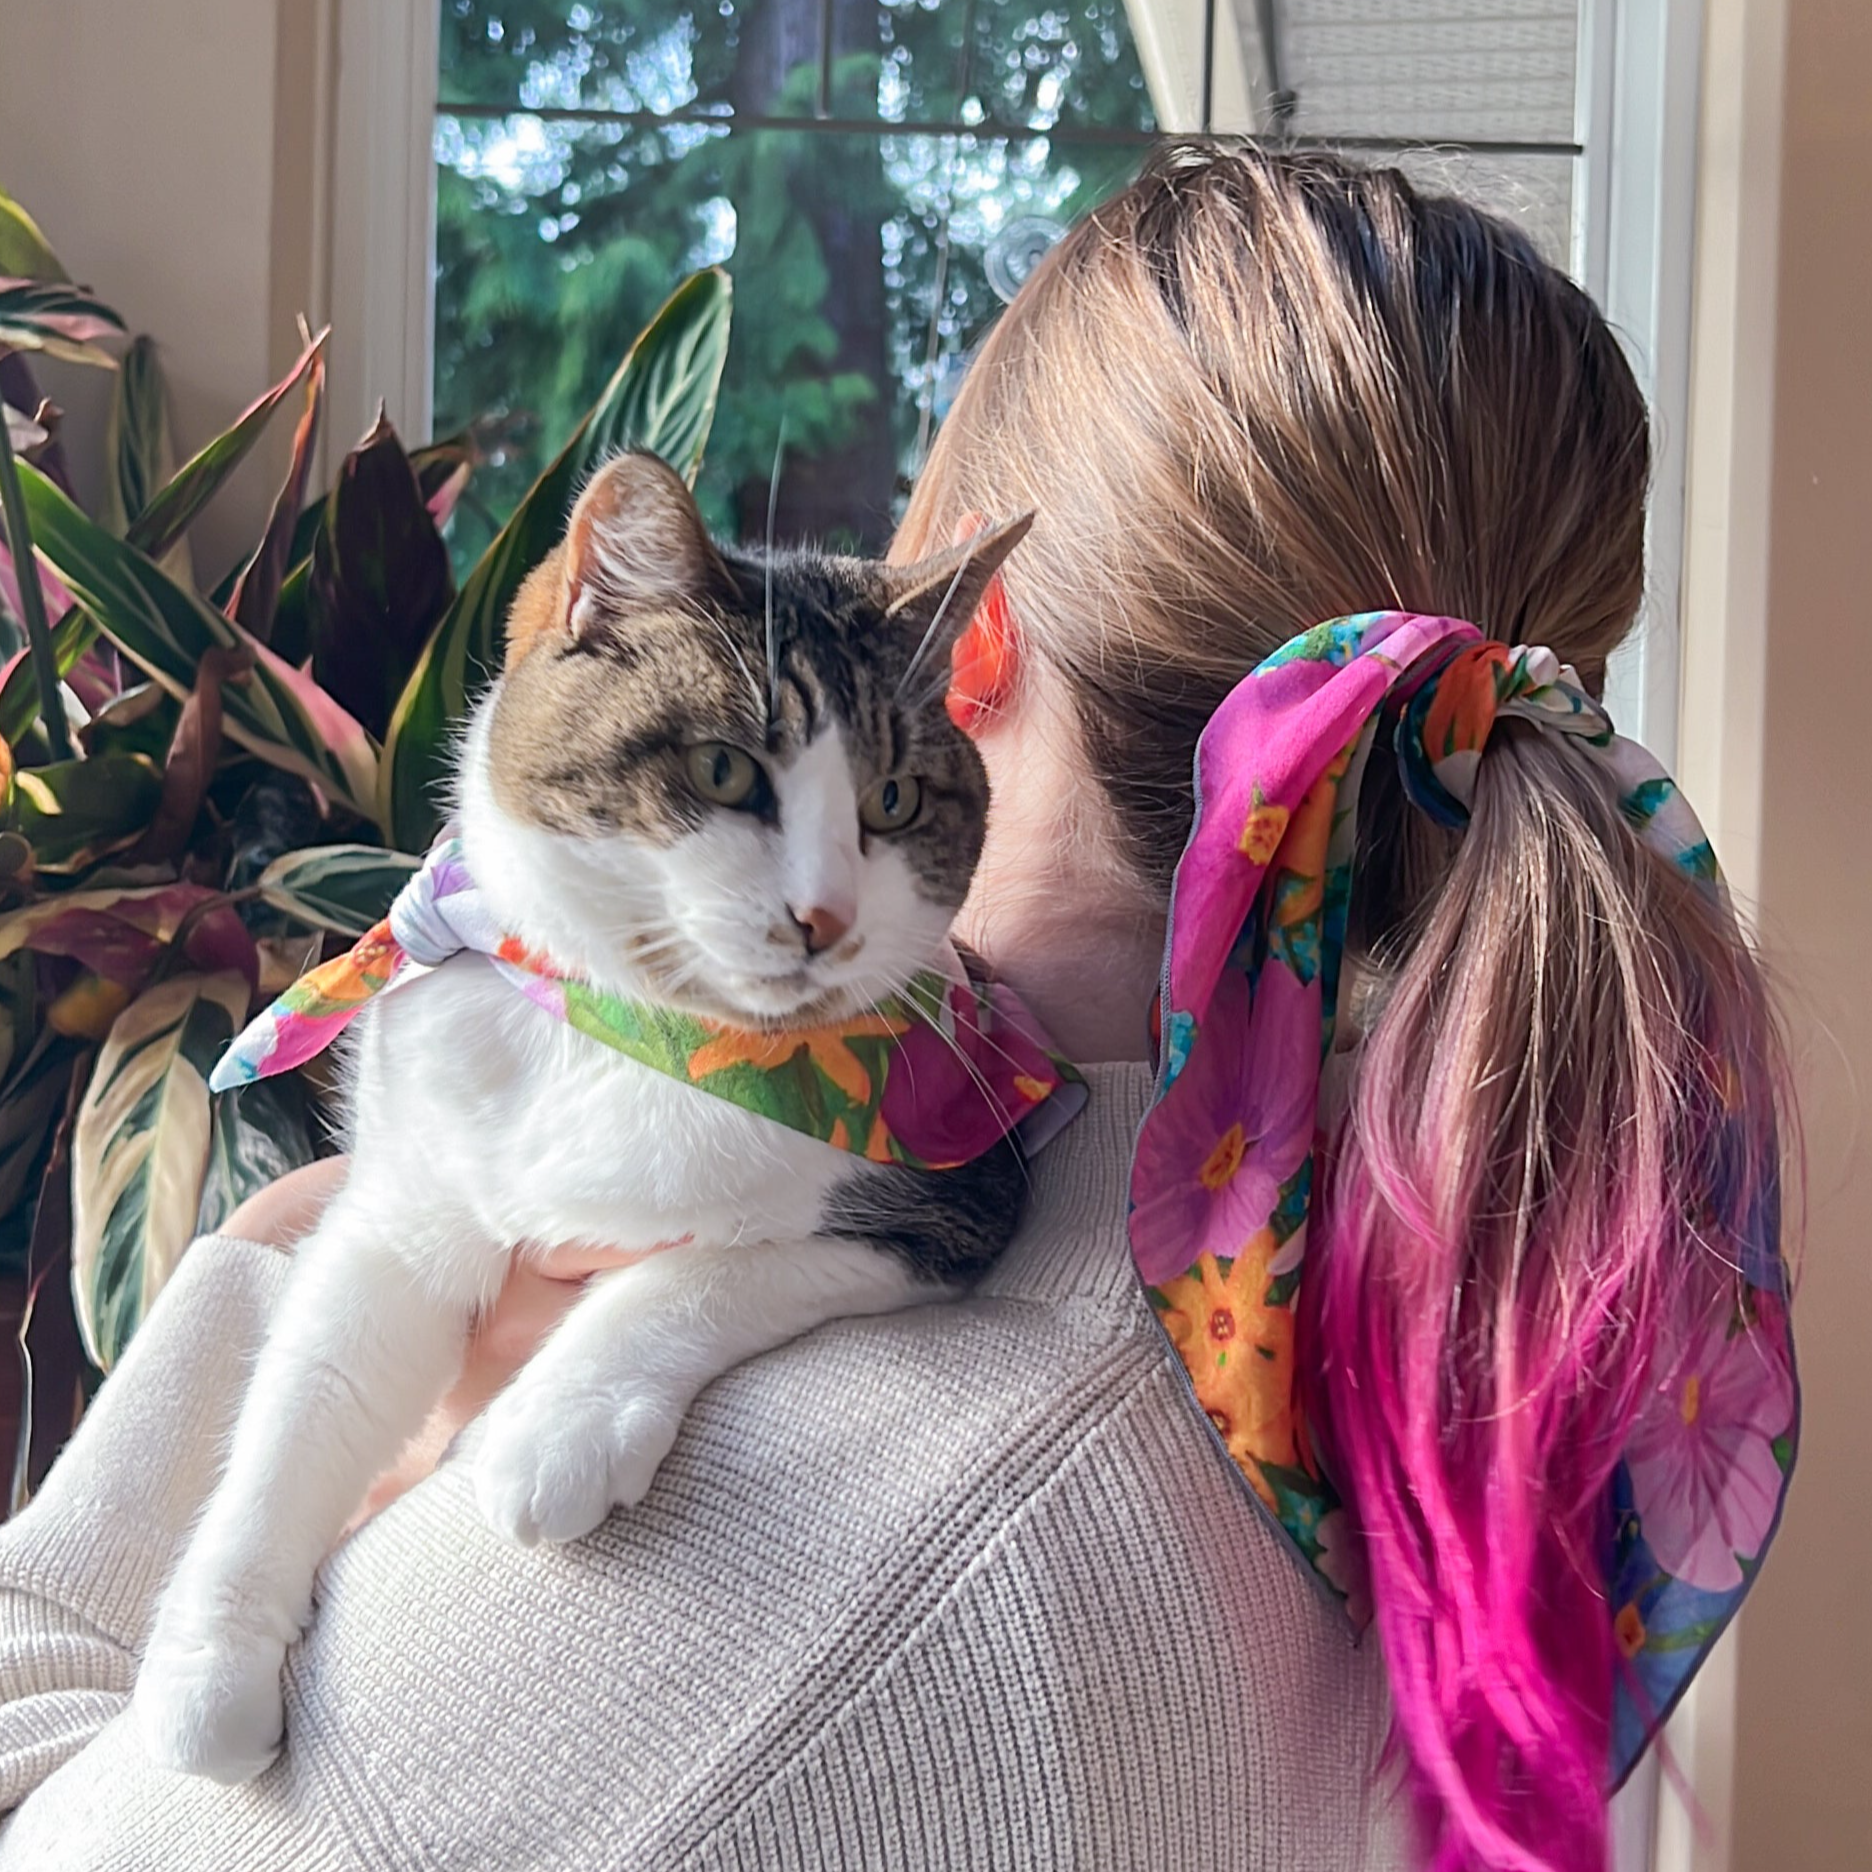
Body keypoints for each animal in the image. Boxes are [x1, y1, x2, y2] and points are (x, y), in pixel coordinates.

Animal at [131, 453, 1040, 1782]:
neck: (637, 1033)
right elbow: (311, 1391)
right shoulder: (403, 1202)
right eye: (723, 771)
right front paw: (208, 1660)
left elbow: (709, 1271)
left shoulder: (953, 1178)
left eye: (894, 798)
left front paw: (555, 1427)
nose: (825, 919)